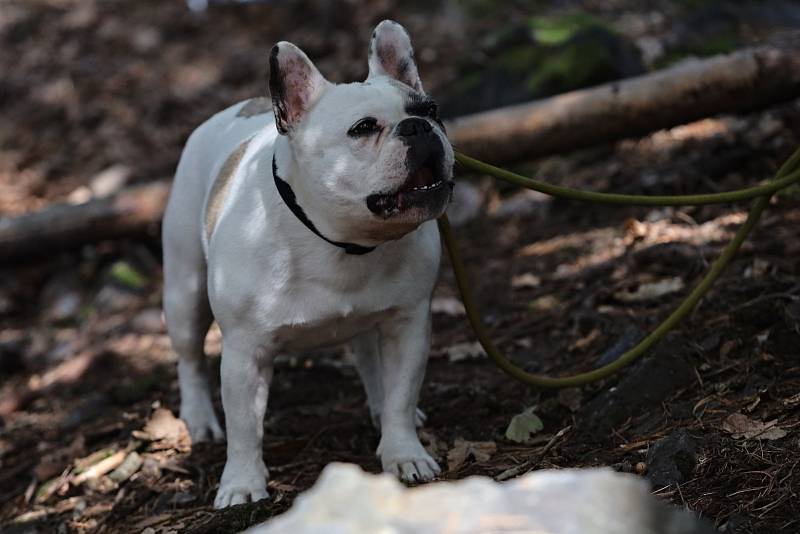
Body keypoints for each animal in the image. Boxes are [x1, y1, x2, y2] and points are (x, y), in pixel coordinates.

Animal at [161, 21, 456, 510]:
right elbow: (244, 427)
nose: (418, 126)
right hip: (184, 289)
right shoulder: (244, 353)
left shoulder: (408, 324)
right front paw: (241, 484)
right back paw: (199, 419)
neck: (344, 243)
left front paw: (404, 453)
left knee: (370, 359)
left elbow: (400, 392)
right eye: (363, 128)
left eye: (431, 109)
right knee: (189, 357)